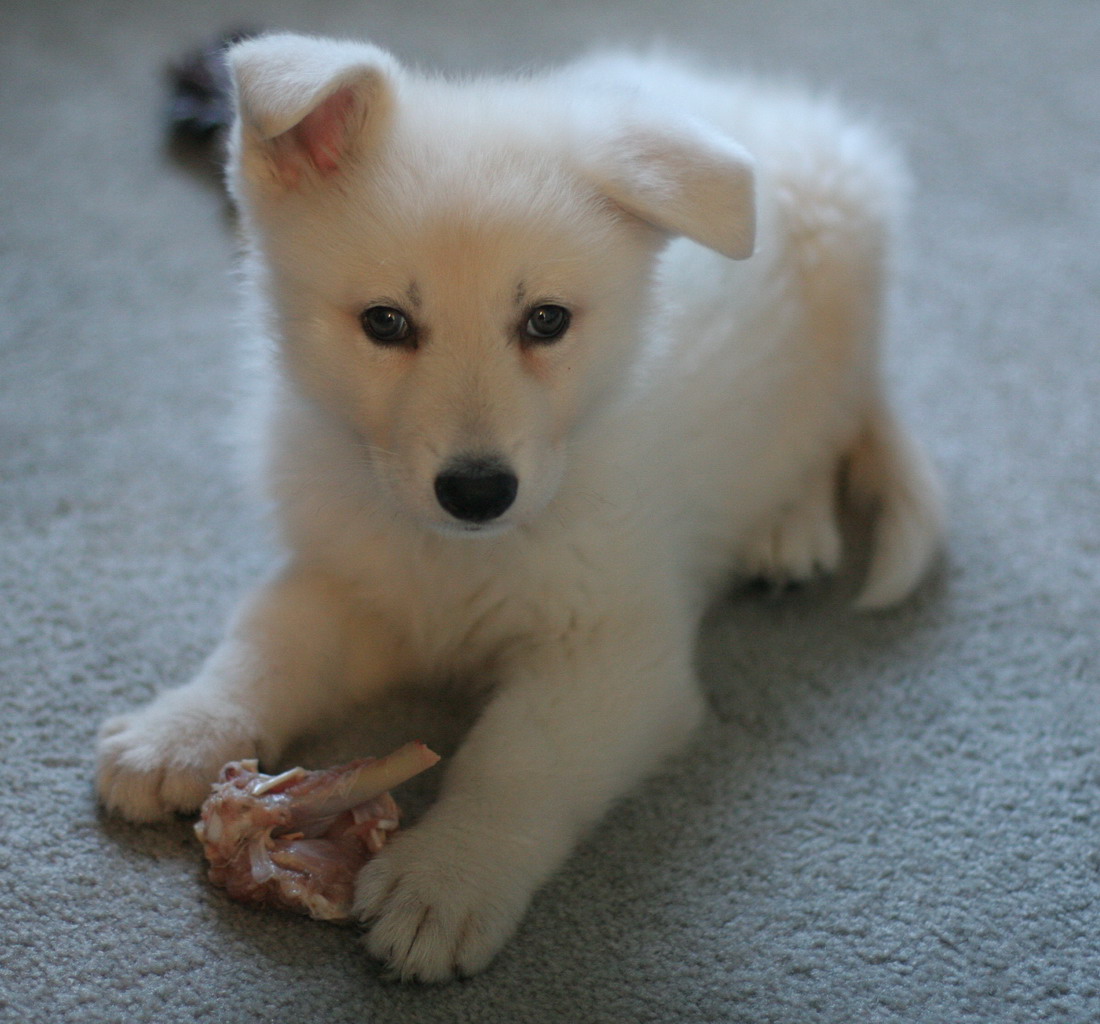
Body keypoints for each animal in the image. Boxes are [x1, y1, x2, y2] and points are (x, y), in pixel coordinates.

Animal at [96, 32, 944, 981]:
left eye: (546, 320)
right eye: (385, 322)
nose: (477, 490)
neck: (455, 553)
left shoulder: (612, 654)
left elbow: (518, 762)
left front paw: (448, 877)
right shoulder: (350, 577)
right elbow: (268, 645)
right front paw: (179, 730)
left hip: (841, 310)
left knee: (827, 426)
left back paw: (787, 528)